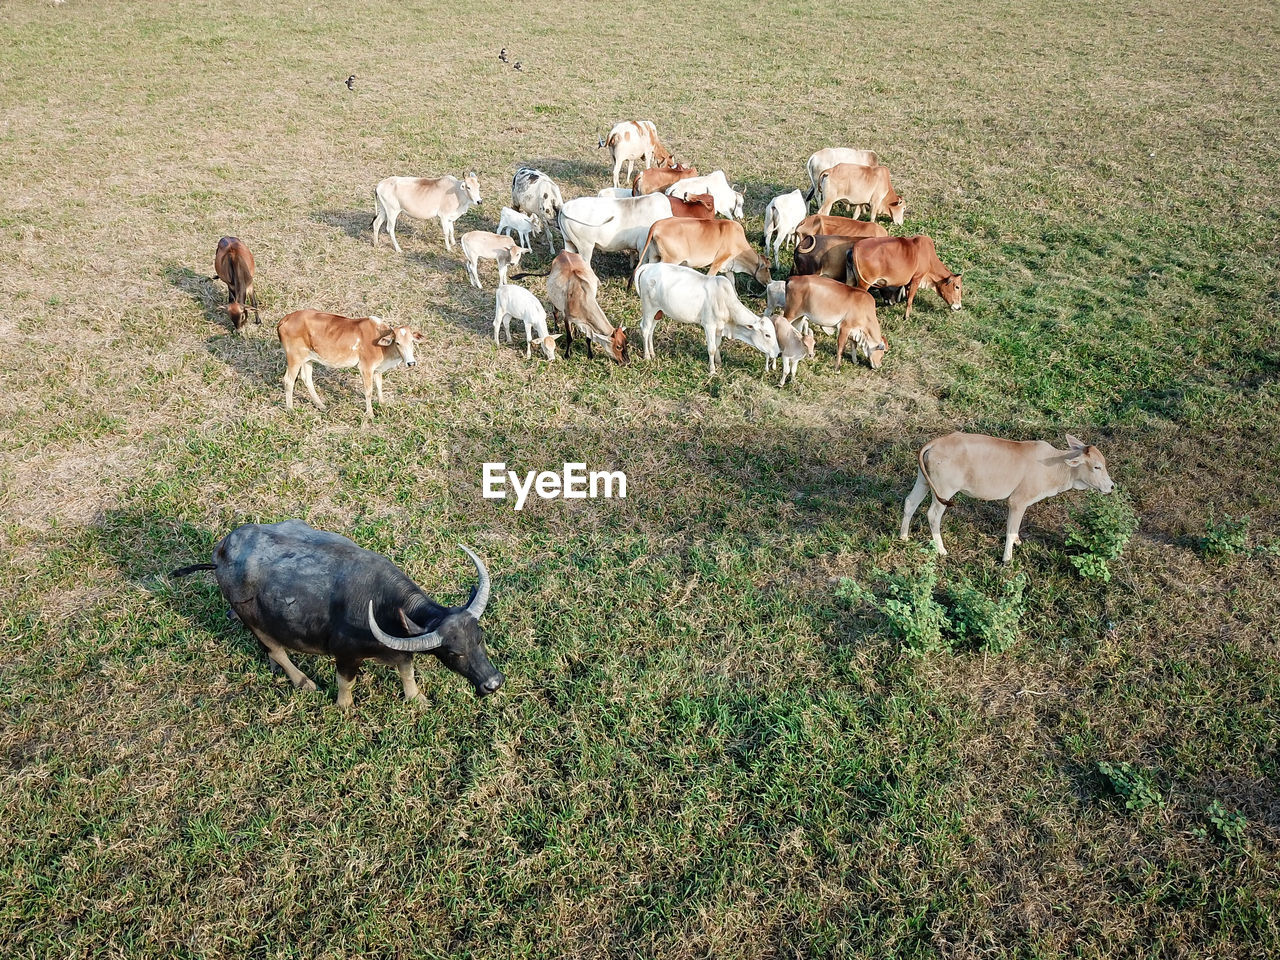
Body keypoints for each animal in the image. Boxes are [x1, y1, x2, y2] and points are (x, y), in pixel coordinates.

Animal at [172, 522, 501, 711]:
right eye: (454, 653)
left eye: (480, 638)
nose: (493, 683)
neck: (383, 604)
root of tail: (220, 553)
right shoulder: (345, 655)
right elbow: (346, 682)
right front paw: (344, 708)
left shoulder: (402, 645)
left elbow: (407, 671)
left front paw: (416, 699)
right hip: (253, 620)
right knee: (276, 650)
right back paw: (303, 681)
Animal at [276, 312, 424, 419]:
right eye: (397, 342)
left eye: (412, 341)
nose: (411, 363)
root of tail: (286, 318)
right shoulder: (366, 367)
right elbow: (369, 391)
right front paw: (370, 414)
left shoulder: (377, 369)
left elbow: (379, 386)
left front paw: (382, 404)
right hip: (294, 358)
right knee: (288, 380)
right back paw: (290, 409)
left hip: (308, 359)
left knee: (307, 379)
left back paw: (321, 405)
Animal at [632, 263, 778, 376]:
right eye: (767, 335)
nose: (777, 352)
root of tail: (650, 266)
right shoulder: (709, 325)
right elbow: (711, 348)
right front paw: (712, 370)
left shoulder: (720, 327)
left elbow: (718, 345)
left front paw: (719, 362)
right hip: (649, 308)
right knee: (645, 329)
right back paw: (647, 356)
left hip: (658, 311)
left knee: (651, 330)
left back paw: (652, 353)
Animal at [637, 218, 768, 289]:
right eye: (767, 268)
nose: (769, 281)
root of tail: (657, 225)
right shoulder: (717, 262)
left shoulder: (728, 268)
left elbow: (732, 284)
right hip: (670, 260)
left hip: (654, 256)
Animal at [901, 430, 1121, 560]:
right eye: (1097, 466)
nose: (1111, 487)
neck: (1055, 465)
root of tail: (935, 443)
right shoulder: (1017, 502)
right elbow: (1010, 529)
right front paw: (1007, 558)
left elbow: (1015, 529)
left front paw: (1017, 542)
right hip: (945, 491)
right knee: (932, 515)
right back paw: (941, 550)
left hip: (923, 481)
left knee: (910, 502)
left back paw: (904, 537)